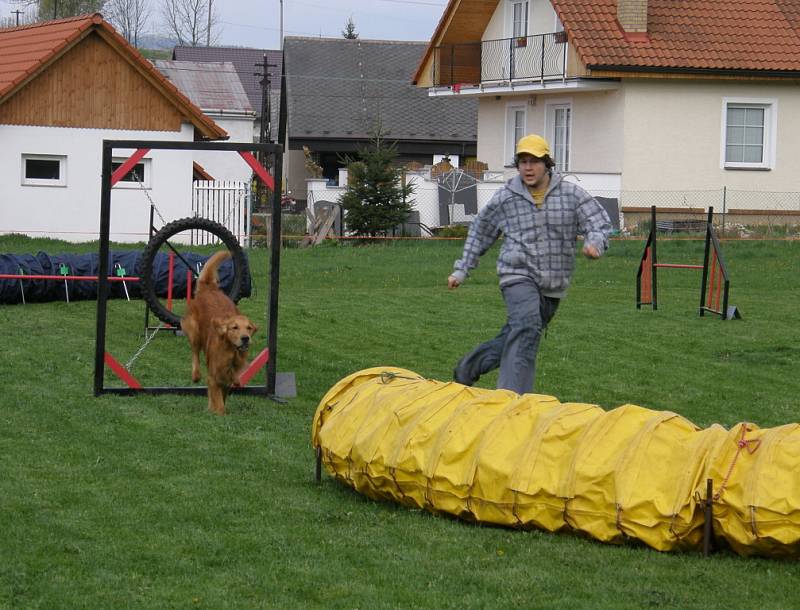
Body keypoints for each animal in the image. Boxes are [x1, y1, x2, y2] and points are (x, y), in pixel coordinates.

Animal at [181, 251, 256, 414]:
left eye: (248, 328)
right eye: (234, 327)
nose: (245, 338)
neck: (231, 354)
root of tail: (210, 288)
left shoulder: (226, 380)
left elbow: (221, 395)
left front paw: (212, 409)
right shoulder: (214, 377)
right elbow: (219, 401)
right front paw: (218, 412)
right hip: (194, 332)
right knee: (195, 352)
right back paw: (196, 375)